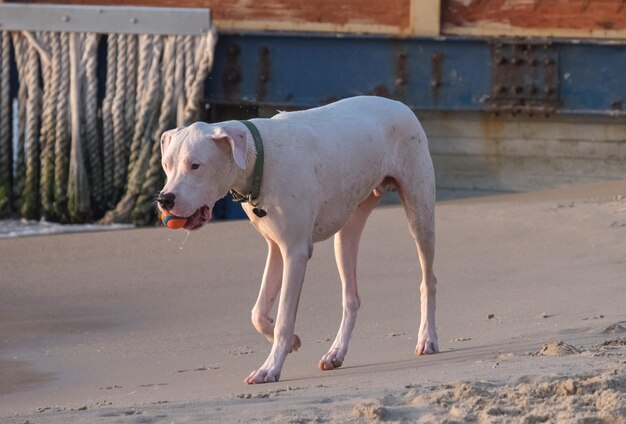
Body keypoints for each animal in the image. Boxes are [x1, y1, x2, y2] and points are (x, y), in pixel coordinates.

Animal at [158, 96, 436, 384]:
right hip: (347, 233)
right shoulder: (277, 250)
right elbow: (258, 313)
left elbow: (284, 318)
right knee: (351, 297)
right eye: (166, 165)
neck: (260, 160)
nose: (164, 199)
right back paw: (336, 352)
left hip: (420, 215)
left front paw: (270, 367)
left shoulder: (295, 252)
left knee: (428, 281)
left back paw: (427, 339)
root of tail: (398, 103)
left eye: (195, 165)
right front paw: (292, 342)